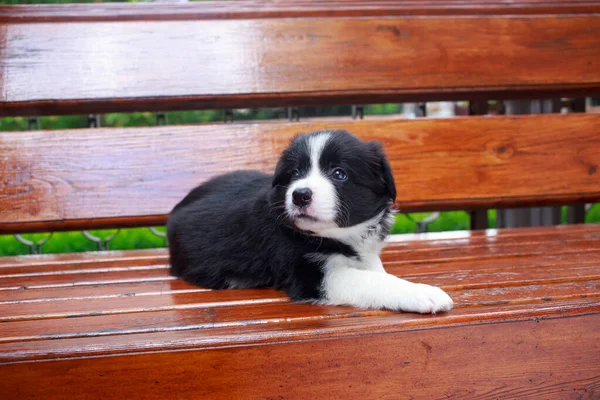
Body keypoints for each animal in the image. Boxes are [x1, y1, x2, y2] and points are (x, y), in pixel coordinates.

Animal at [166, 130, 452, 314]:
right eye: (295, 173)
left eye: (339, 173)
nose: (300, 194)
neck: (336, 235)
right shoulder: (311, 275)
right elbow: (371, 281)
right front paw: (421, 293)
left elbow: (375, 269)